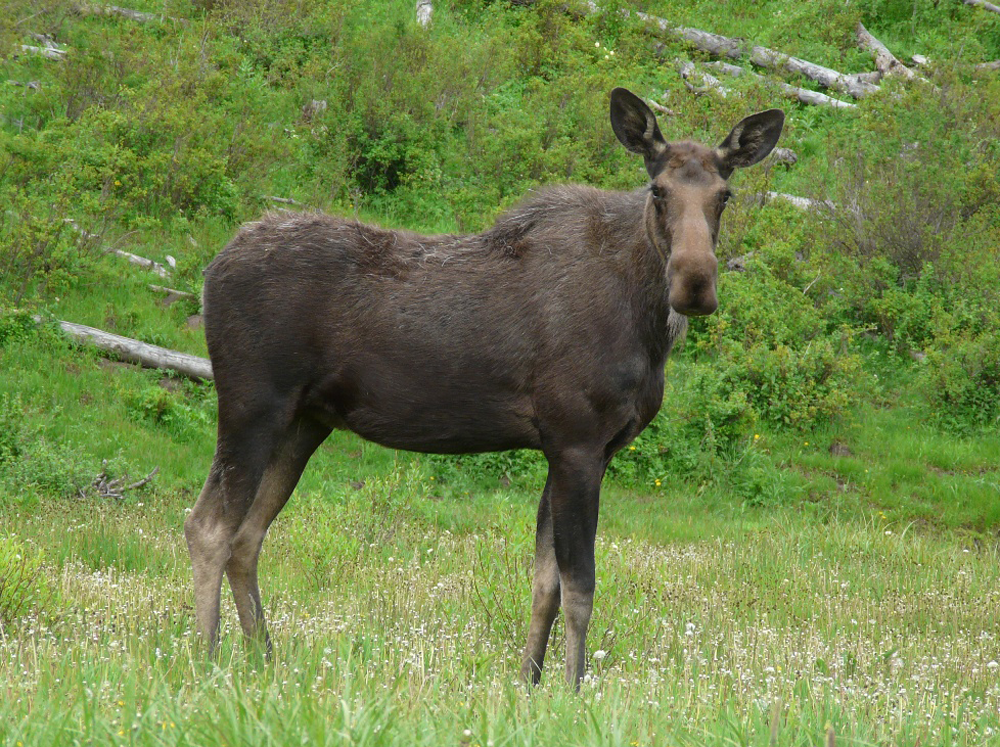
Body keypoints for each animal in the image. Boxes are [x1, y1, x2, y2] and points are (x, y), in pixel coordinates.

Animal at [186, 89, 780, 688]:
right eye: (658, 191)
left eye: (724, 194)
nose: (694, 283)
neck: (647, 326)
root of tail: (211, 271)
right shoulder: (577, 440)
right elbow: (581, 586)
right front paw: (573, 688)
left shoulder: (574, 448)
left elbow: (545, 584)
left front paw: (530, 682)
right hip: (251, 405)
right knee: (208, 526)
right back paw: (208, 660)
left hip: (304, 421)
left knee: (246, 537)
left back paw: (264, 660)